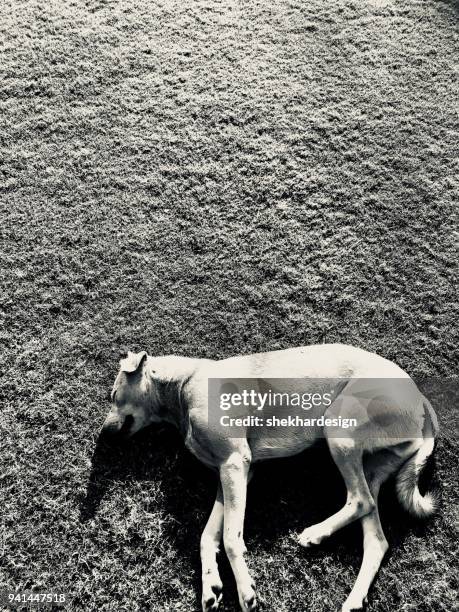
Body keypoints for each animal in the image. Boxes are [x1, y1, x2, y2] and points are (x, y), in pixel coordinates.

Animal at [100, 344, 438, 612]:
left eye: (114, 395)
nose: (101, 436)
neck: (183, 385)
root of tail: (420, 399)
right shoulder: (231, 474)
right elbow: (208, 536)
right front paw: (210, 584)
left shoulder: (235, 464)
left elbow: (230, 538)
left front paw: (245, 591)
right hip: (371, 466)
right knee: (376, 538)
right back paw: (354, 598)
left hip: (339, 425)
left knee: (360, 500)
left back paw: (314, 533)